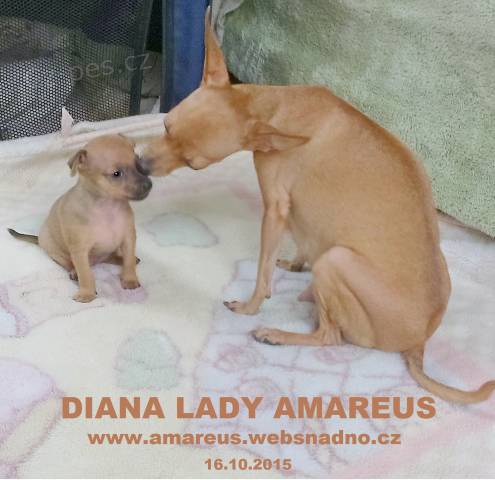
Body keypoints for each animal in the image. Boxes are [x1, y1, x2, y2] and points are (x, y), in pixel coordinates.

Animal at [8, 134, 152, 303]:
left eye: (138, 164)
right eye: (116, 174)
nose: (148, 185)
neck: (107, 208)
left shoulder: (128, 238)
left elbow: (128, 261)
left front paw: (129, 279)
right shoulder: (80, 250)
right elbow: (85, 273)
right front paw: (86, 293)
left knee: (112, 257)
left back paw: (121, 259)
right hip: (56, 251)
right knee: (69, 264)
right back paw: (74, 272)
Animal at [140, 10, 495, 403]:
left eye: (194, 164)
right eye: (165, 126)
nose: (140, 165)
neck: (271, 109)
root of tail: (419, 342)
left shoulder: (275, 207)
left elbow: (262, 271)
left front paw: (250, 306)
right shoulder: (296, 215)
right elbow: (300, 242)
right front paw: (294, 262)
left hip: (335, 262)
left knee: (331, 337)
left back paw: (277, 334)